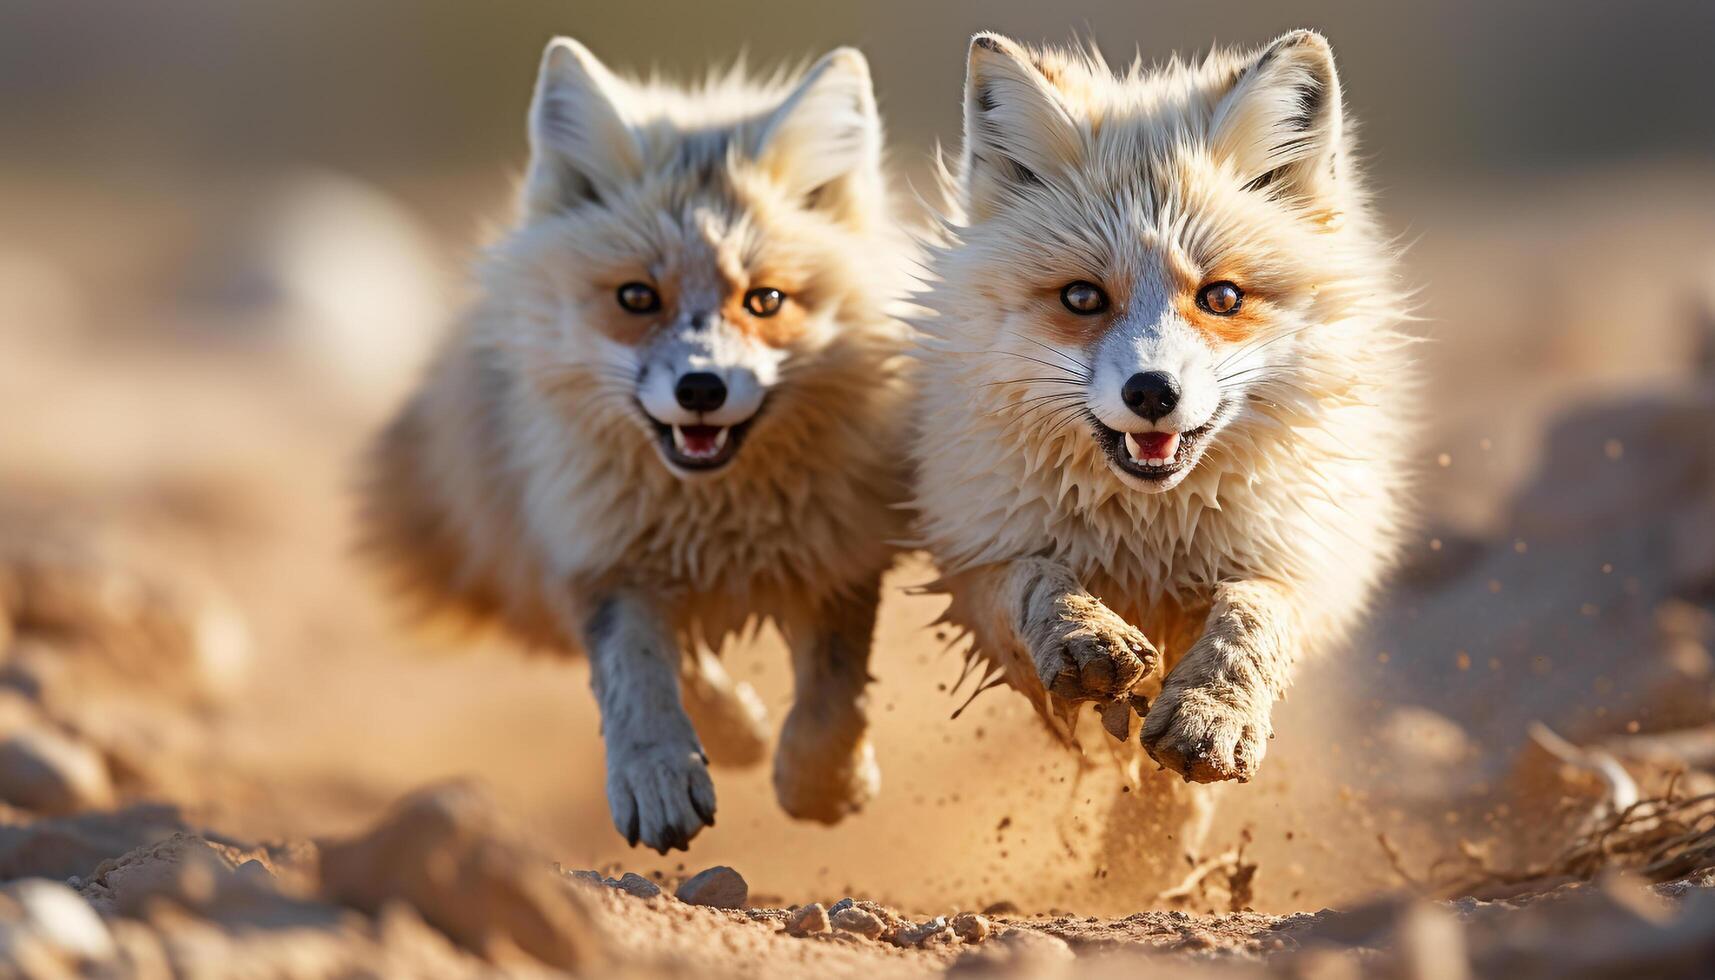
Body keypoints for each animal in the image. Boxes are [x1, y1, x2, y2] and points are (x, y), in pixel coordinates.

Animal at [360, 38, 912, 851]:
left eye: (765, 300)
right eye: (636, 298)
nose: (701, 388)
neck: (720, 521)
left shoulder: (839, 549)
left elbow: (834, 693)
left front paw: (822, 782)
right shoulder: (602, 555)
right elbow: (644, 675)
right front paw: (665, 770)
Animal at [919, 32, 1413, 789]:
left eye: (1222, 297)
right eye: (1082, 297)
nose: (1151, 392)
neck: (1150, 540)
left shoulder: (1302, 559)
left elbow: (1250, 618)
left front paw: (1213, 709)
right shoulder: (974, 557)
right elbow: (1036, 579)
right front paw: (1082, 633)